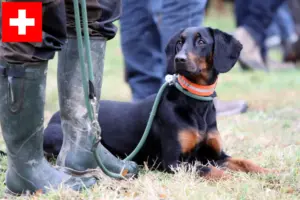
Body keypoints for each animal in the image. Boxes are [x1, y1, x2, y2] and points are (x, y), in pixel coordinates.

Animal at [44, 26, 272, 180]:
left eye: (201, 42)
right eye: (179, 42)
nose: (179, 59)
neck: (195, 103)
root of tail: (54, 116)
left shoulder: (216, 155)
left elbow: (244, 161)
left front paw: (269, 172)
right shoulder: (173, 162)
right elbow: (211, 170)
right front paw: (233, 179)